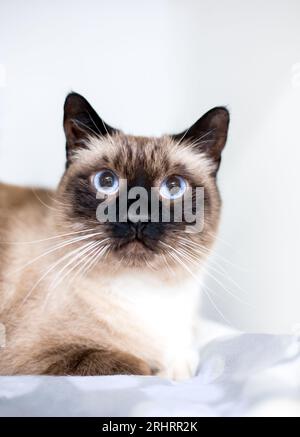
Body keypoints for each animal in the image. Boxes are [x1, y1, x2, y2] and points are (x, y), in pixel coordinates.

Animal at [0, 92, 230, 378]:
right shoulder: (30, 358)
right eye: (106, 181)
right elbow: (140, 366)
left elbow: (185, 363)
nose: (138, 215)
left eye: (174, 187)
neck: (142, 292)